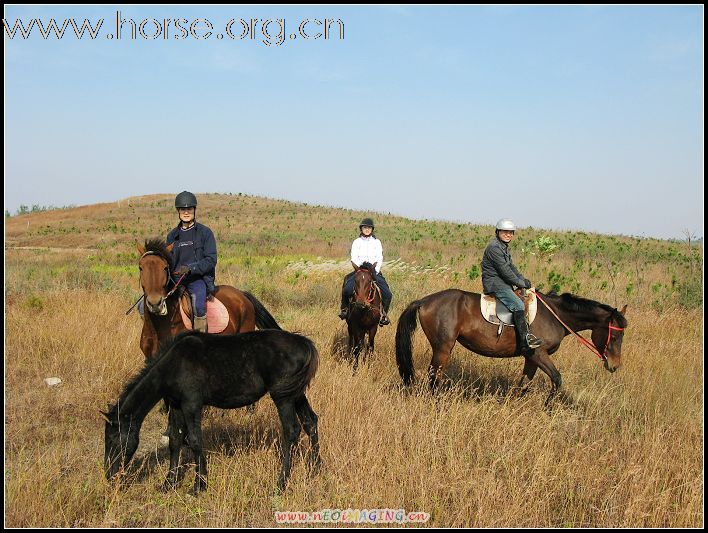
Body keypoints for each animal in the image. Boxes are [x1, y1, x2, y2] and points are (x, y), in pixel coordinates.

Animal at [396, 288, 628, 406]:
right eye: (616, 336)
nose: (614, 366)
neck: (555, 314)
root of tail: (425, 300)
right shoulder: (538, 353)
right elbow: (556, 379)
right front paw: (548, 409)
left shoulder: (531, 358)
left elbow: (523, 385)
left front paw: (510, 406)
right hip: (443, 347)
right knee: (434, 375)